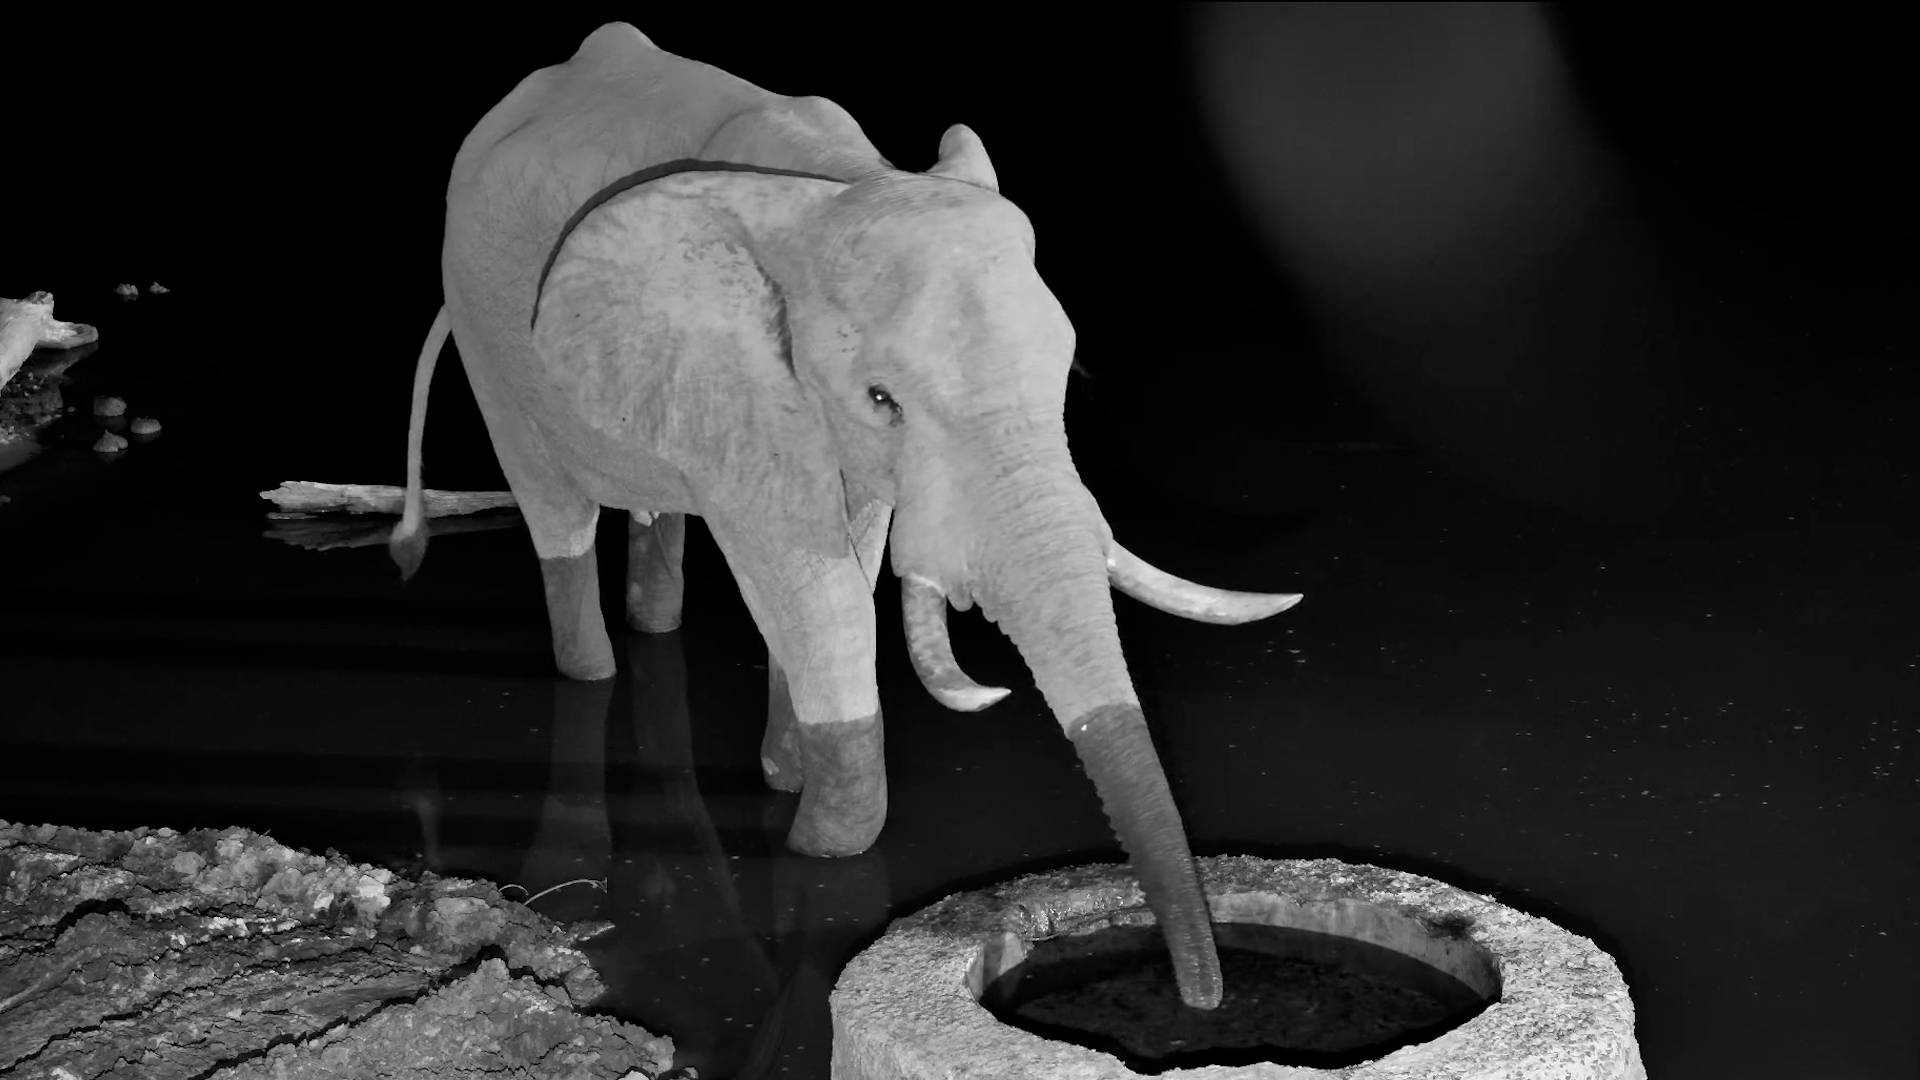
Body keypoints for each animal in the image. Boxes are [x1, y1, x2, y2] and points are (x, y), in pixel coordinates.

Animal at [388, 23, 1301, 1010]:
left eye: (1065, 369)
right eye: (881, 399)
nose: (1203, 998)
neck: (832, 186)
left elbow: (846, 559)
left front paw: (786, 777)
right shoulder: (746, 378)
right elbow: (807, 579)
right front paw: (823, 844)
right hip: (484, 330)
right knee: (553, 509)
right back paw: (590, 669)